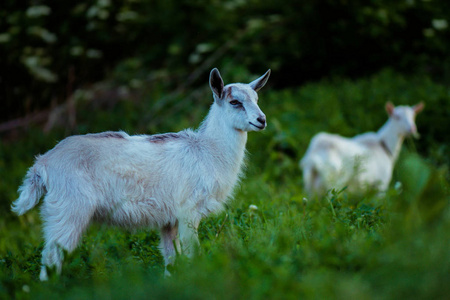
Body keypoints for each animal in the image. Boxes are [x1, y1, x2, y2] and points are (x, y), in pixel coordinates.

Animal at [10, 67, 270, 280]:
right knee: (51, 257)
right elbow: (191, 252)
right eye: (234, 102)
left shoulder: (170, 220)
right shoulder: (189, 211)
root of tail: (42, 164)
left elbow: (171, 258)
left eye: (257, 99)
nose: (262, 120)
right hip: (69, 208)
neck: (207, 151)